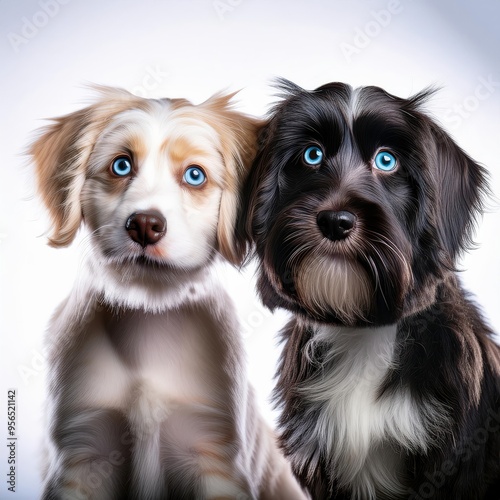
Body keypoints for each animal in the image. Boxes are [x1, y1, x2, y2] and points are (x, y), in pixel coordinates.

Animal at [31, 87, 306, 500]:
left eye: (195, 175)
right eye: (121, 166)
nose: (144, 225)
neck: (148, 311)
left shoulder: (214, 452)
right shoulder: (82, 451)